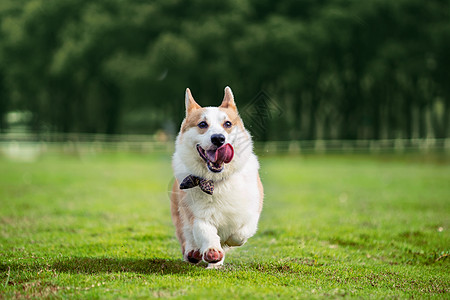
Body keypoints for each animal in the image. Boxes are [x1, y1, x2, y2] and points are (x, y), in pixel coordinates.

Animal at [171, 85, 264, 268]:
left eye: (227, 124)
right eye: (202, 124)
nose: (218, 139)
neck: (218, 180)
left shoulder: (252, 211)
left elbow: (240, 233)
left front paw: (229, 241)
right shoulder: (197, 215)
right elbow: (205, 232)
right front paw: (212, 252)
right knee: (187, 235)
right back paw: (194, 253)